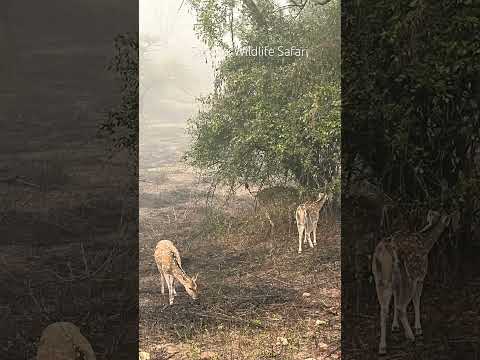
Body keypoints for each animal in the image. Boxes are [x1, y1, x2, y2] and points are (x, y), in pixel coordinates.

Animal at [372, 211, 454, 354]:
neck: (426, 245)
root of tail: (384, 252)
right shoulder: (421, 276)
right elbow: (416, 300)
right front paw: (418, 328)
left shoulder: (396, 283)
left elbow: (395, 299)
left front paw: (395, 326)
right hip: (407, 276)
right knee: (401, 306)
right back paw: (411, 336)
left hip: (380, 278)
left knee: (384, 308)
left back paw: (382, 347)